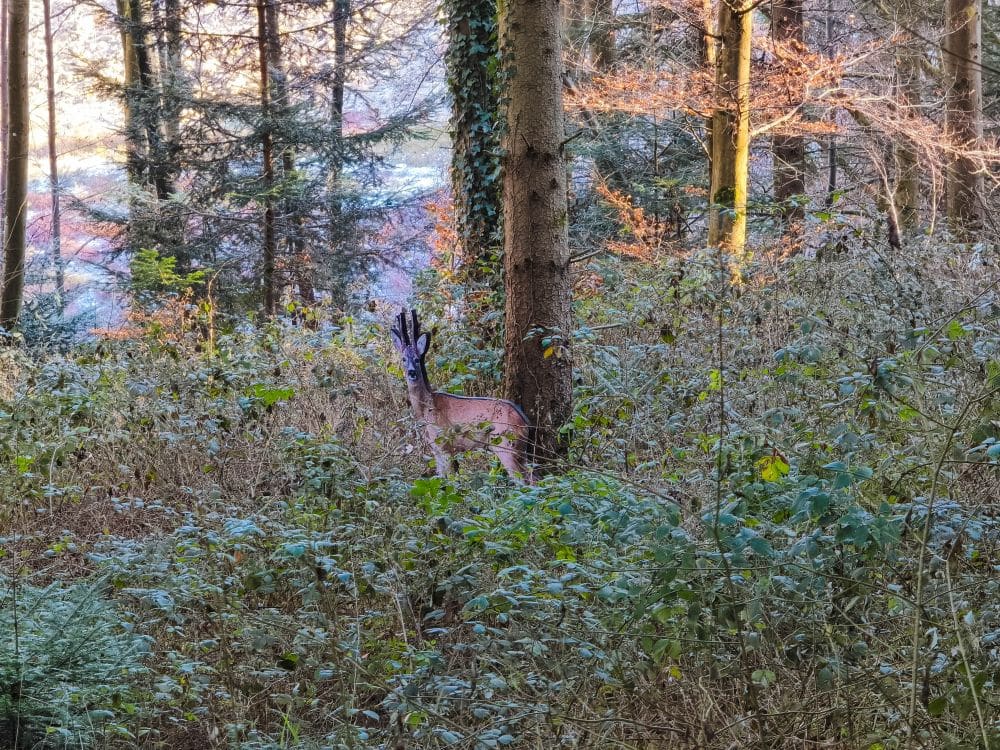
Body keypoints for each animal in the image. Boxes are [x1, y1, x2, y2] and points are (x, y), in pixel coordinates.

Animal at [390, 308, 534, 482]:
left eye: (417, 359)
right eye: (403, 359)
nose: (411, 372)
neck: (427, 409)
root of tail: (525, 423)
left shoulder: (445, 445)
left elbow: (451, 481)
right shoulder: (436, 450)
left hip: (506, 445)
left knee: (522, 480)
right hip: (520, 450)